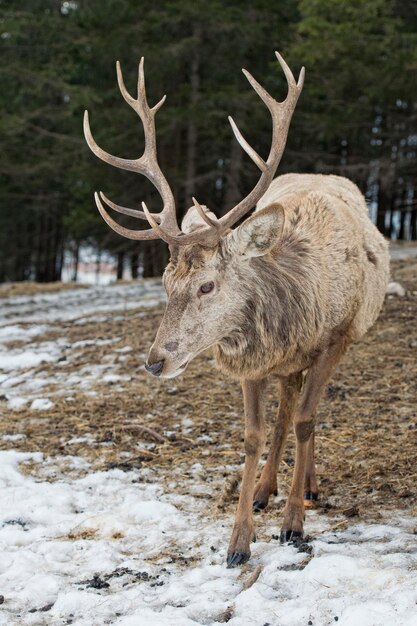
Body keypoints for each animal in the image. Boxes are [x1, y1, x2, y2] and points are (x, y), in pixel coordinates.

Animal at [83, 52, 388, 564]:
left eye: (207, 286)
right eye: (165, 282)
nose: (155, 361)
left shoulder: (335, 339)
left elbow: (307, 420)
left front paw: (293, 526)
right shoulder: (254, 358)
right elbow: (253, 435)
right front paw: (239, 540)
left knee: (305, 413)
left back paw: (307, 487)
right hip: (288, 364)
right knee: (285, 412)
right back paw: (268, 489)